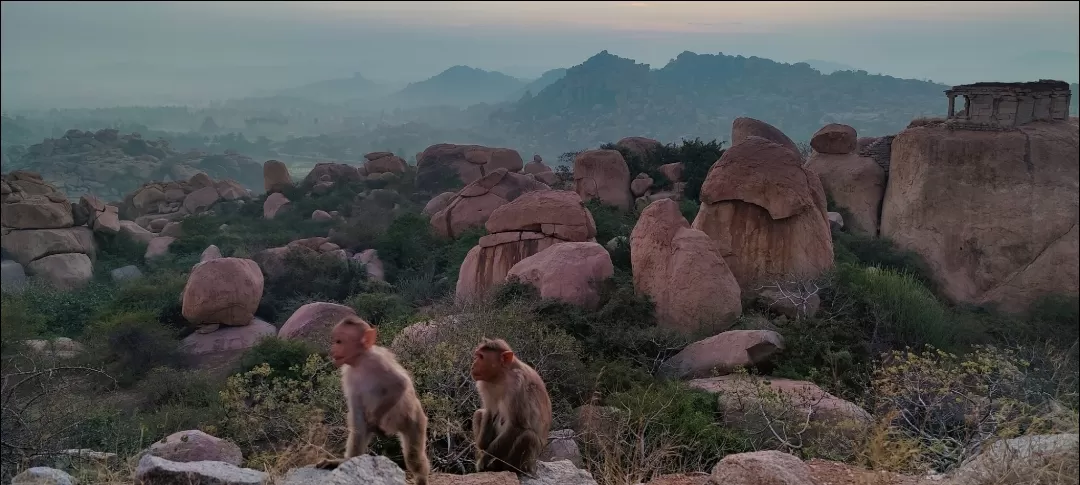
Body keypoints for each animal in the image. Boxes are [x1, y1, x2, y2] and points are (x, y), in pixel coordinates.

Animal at [313, 313, 429, 483]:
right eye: (334, 341)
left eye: (339, 341)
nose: (333, 349)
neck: (360, 361)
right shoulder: (348, 375)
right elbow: (357, 413)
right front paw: (341, 461)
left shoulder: (377, 360)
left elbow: (399, 384)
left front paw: (375, 420)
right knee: (361, 429)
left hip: (415, 420)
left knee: (413, 457)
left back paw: (421, 478)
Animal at [470, 337, 552, 473]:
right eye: (477, 356)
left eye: (481, 357)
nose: (473, 365)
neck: (502, 376)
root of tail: (533, 465)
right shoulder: (485, 383)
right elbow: (489, 411)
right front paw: (482, 446)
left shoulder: (518, 384)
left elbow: (516, 425)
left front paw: (484, 459)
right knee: (478, 413)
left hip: (528, 462)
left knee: (528, 436)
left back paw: (508, 468)